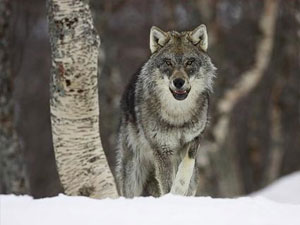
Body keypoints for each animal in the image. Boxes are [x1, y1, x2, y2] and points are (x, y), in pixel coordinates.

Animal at [114, 23, 216, 198]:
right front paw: (172, 195)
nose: (178, 82)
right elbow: (167, 184)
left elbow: (186, 166)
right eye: (168, 62)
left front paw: (179, 190)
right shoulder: (162, 150)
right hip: (133, 173)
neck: (177, 114)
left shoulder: (194, 139)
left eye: (189, 62)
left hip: (194, 177)